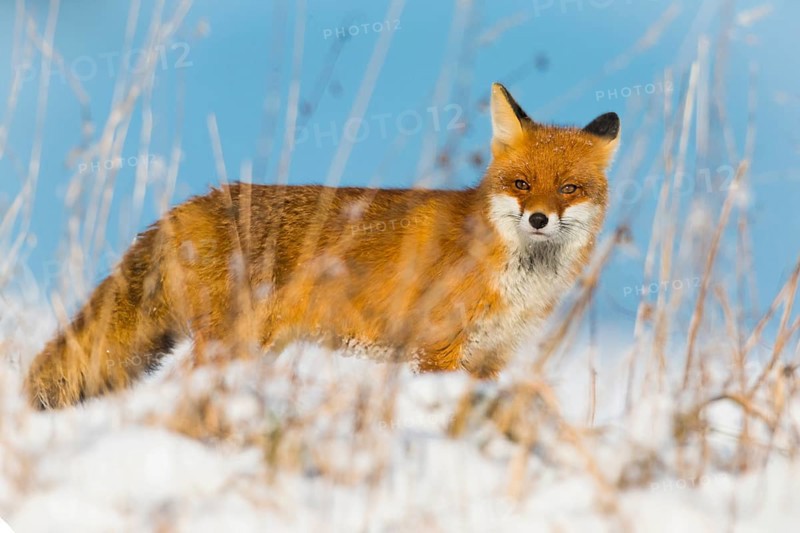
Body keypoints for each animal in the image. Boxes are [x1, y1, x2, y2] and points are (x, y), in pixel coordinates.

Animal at [24, 83, 619, 409]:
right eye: (521, 183)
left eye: (569, 189)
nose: (539, 218)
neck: (518, 281)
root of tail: (194, 201)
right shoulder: (436, 352)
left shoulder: (488, 362)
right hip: (232, 344)